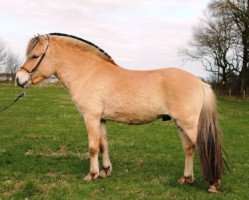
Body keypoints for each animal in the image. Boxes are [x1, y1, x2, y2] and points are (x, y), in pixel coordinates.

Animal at [16, 32, 226, 192]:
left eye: (35, 56)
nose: (19, 78)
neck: (88, 73)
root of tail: (200, 82)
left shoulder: (90, 118)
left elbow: (93, 147)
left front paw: (91, 175)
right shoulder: (101, 119)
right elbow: (103, 145)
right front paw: (105, 171)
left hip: (189, 124)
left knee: (203, 147)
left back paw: (213, 184)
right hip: (180, 124)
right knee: (189, 149)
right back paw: (186, 179)